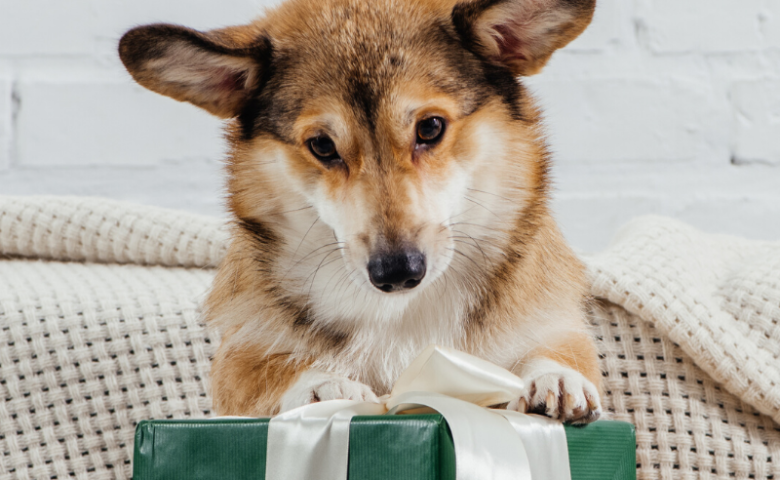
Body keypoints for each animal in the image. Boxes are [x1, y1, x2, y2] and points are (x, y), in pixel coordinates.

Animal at [117, 0, 604, 424]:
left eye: (430, 127)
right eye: (321, 145)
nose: (397, 272)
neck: (402, 314)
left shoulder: (552, 326)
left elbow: (554, 352)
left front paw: (555, 378)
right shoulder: (237, 357)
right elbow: (273, 370)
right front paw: (322, 385)